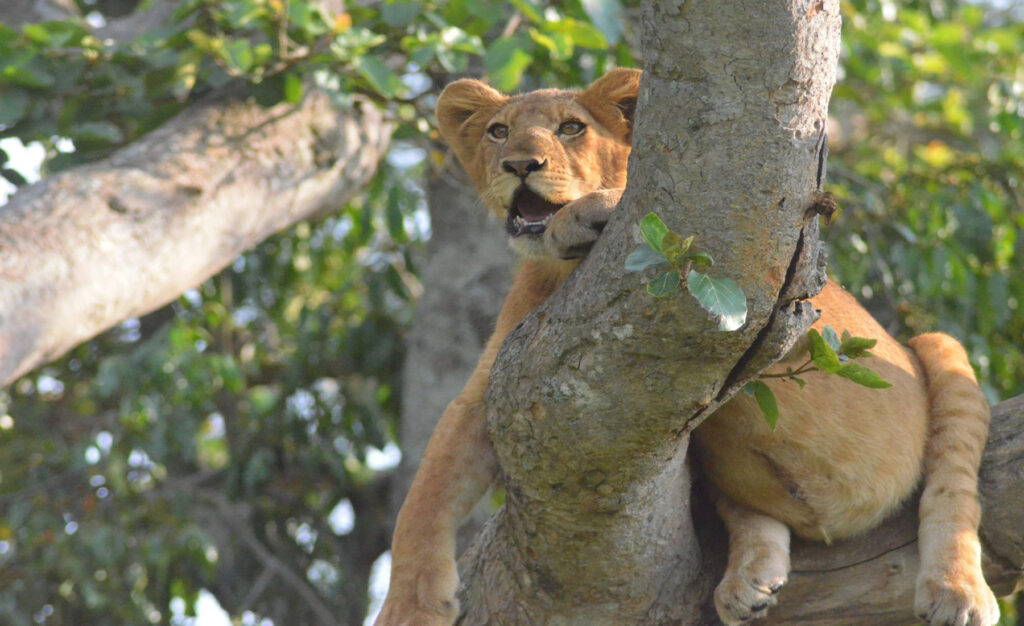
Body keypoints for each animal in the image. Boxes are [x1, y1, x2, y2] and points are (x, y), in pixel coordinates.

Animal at [372, 68, 995, 626]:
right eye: (498, 131)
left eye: (571, 128)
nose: (520, 165)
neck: (559, 273)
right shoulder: (495, 385)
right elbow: (425, 494)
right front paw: (408, 607)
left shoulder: (775, 293)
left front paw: (586, 214)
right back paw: (749, 581)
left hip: (934, 350)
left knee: (953, 489)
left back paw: (957, 591)